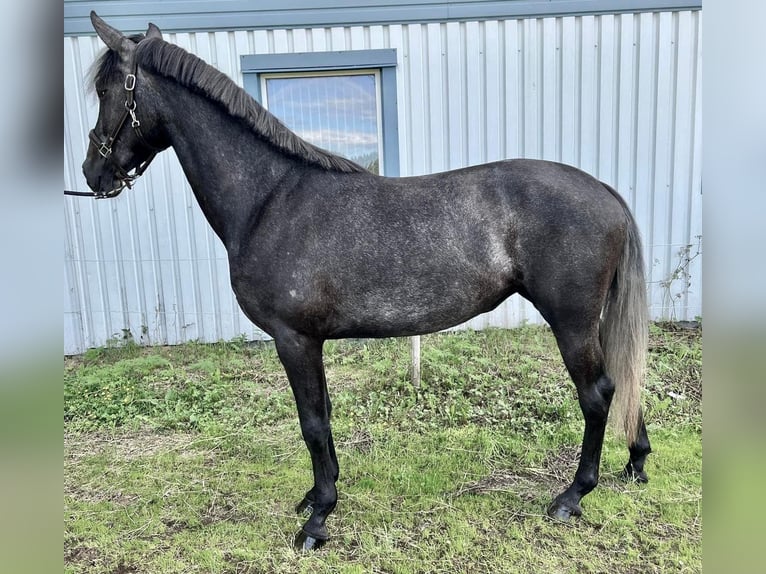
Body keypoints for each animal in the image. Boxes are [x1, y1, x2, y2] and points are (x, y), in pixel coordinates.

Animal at [81, 12, 652, 552]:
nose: (92, 173)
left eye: (106, 91)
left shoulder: (294, 339)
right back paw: (636, 463)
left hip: (571, 322)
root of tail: (605, 191)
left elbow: (312, 423)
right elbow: (324, 418)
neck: (270, 199)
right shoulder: (309, 342)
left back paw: (572, 496)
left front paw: (317, 520)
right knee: (622, 380)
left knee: (597, 394)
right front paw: (317, 495)